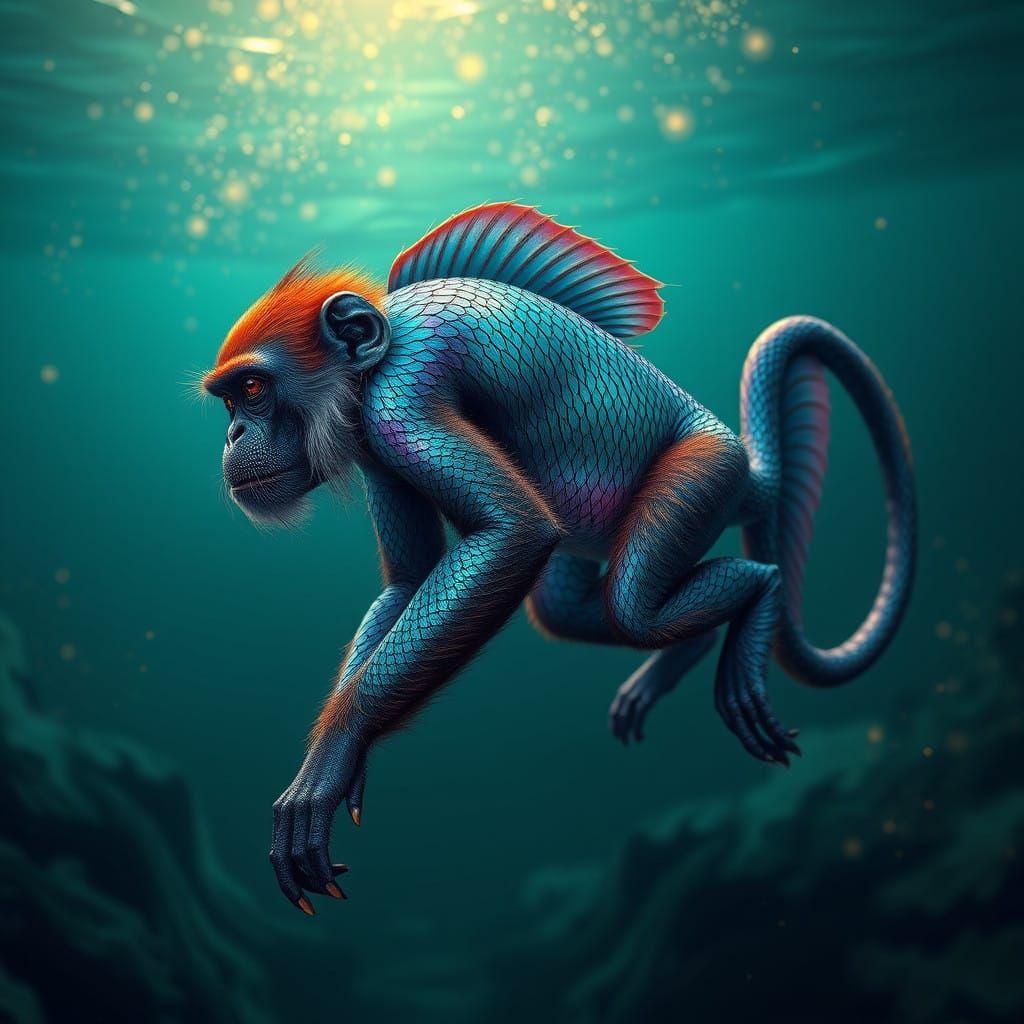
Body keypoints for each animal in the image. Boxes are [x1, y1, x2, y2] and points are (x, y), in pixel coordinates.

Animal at [202, 203, 916, 914]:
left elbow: (512, 534)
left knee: (637, 603)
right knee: (571, 608)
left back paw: (755, 599)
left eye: (254, 390)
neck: (372, 354)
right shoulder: (372, 444)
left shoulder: (400, 397)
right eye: (231, 400)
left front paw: (333, 754)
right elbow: (408, 582)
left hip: (707, 470)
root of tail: (751, 475)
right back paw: (687, 649)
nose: (233, 435)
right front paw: (348, 755)